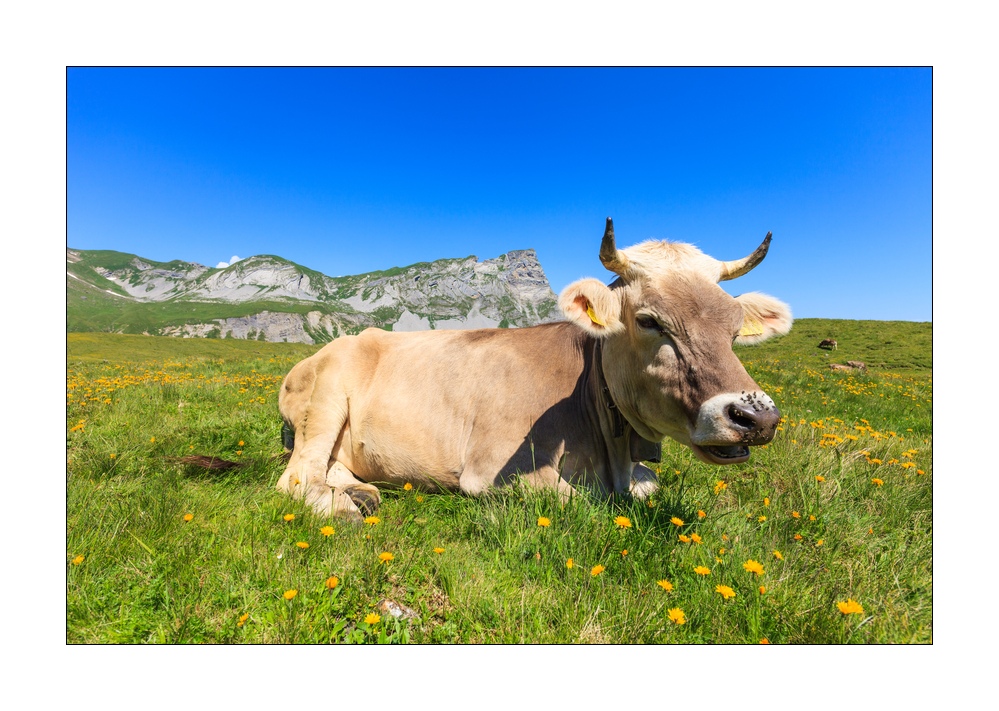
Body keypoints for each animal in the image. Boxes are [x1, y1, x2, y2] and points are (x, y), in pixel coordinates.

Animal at [276, 218, 793, 521]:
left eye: (733, 326)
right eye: (649, 320)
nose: (756, 417)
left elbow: (648, 485)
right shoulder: (492, 471)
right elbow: (583, 501)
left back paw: (361, 493)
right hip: (325, 401)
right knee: (297, 476)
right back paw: (342, 507)